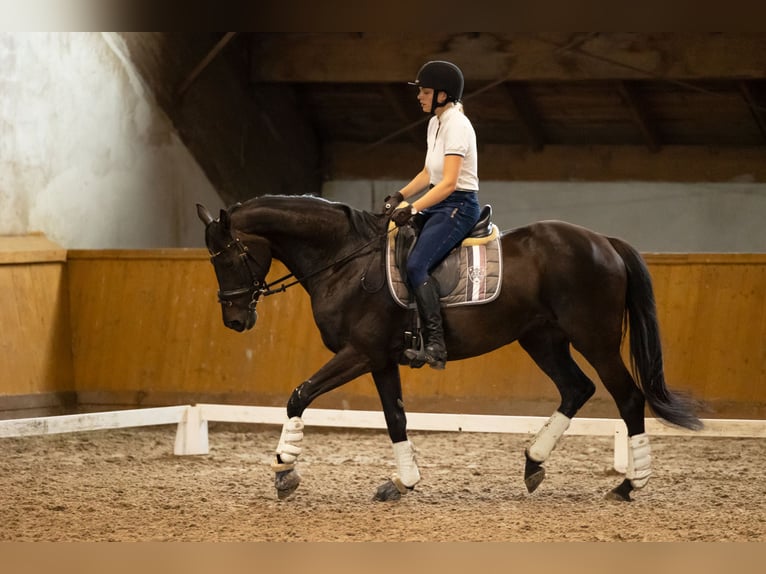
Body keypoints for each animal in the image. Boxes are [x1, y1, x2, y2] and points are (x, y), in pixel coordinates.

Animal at [196, 195, 704, 504]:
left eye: (229, 256)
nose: (236, 320)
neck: (345, 261)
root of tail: (605, 243)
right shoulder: (380, 359)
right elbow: (395, 418)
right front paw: (402, 482)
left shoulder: (359, 353)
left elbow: (299, 394)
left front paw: (284, 470)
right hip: (541, 338)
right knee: (576, 389)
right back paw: (533, 464)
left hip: (593, 339)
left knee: (628, 398)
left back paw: (629, 484)